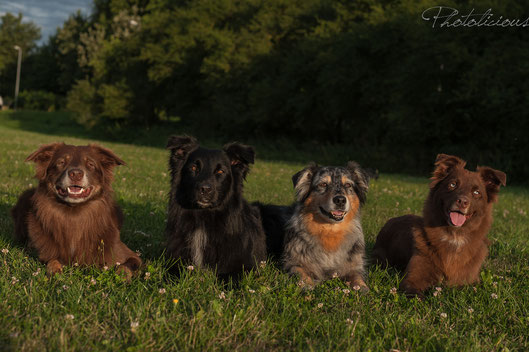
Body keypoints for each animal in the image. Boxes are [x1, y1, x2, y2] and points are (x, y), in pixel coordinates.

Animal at [11, 143, 142, 278]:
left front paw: (122, 276)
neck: (74, 214)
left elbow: (125, 266)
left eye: (90, 164)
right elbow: (53, 260)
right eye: (61, 162)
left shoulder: (132, 256)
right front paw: (55, 270)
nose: (75, 174)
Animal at [165, 136, 266, 276]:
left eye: (220, 171)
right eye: (194, 168)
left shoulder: (244, 265)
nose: (205, 190)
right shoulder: (175, 260)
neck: (204, 216)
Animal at [370, 153, 506, 296]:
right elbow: (417, 294)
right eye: (452, 184)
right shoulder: (412, 278)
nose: (462, 202)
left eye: (476, 192)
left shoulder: (468, 281)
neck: (454, 236)